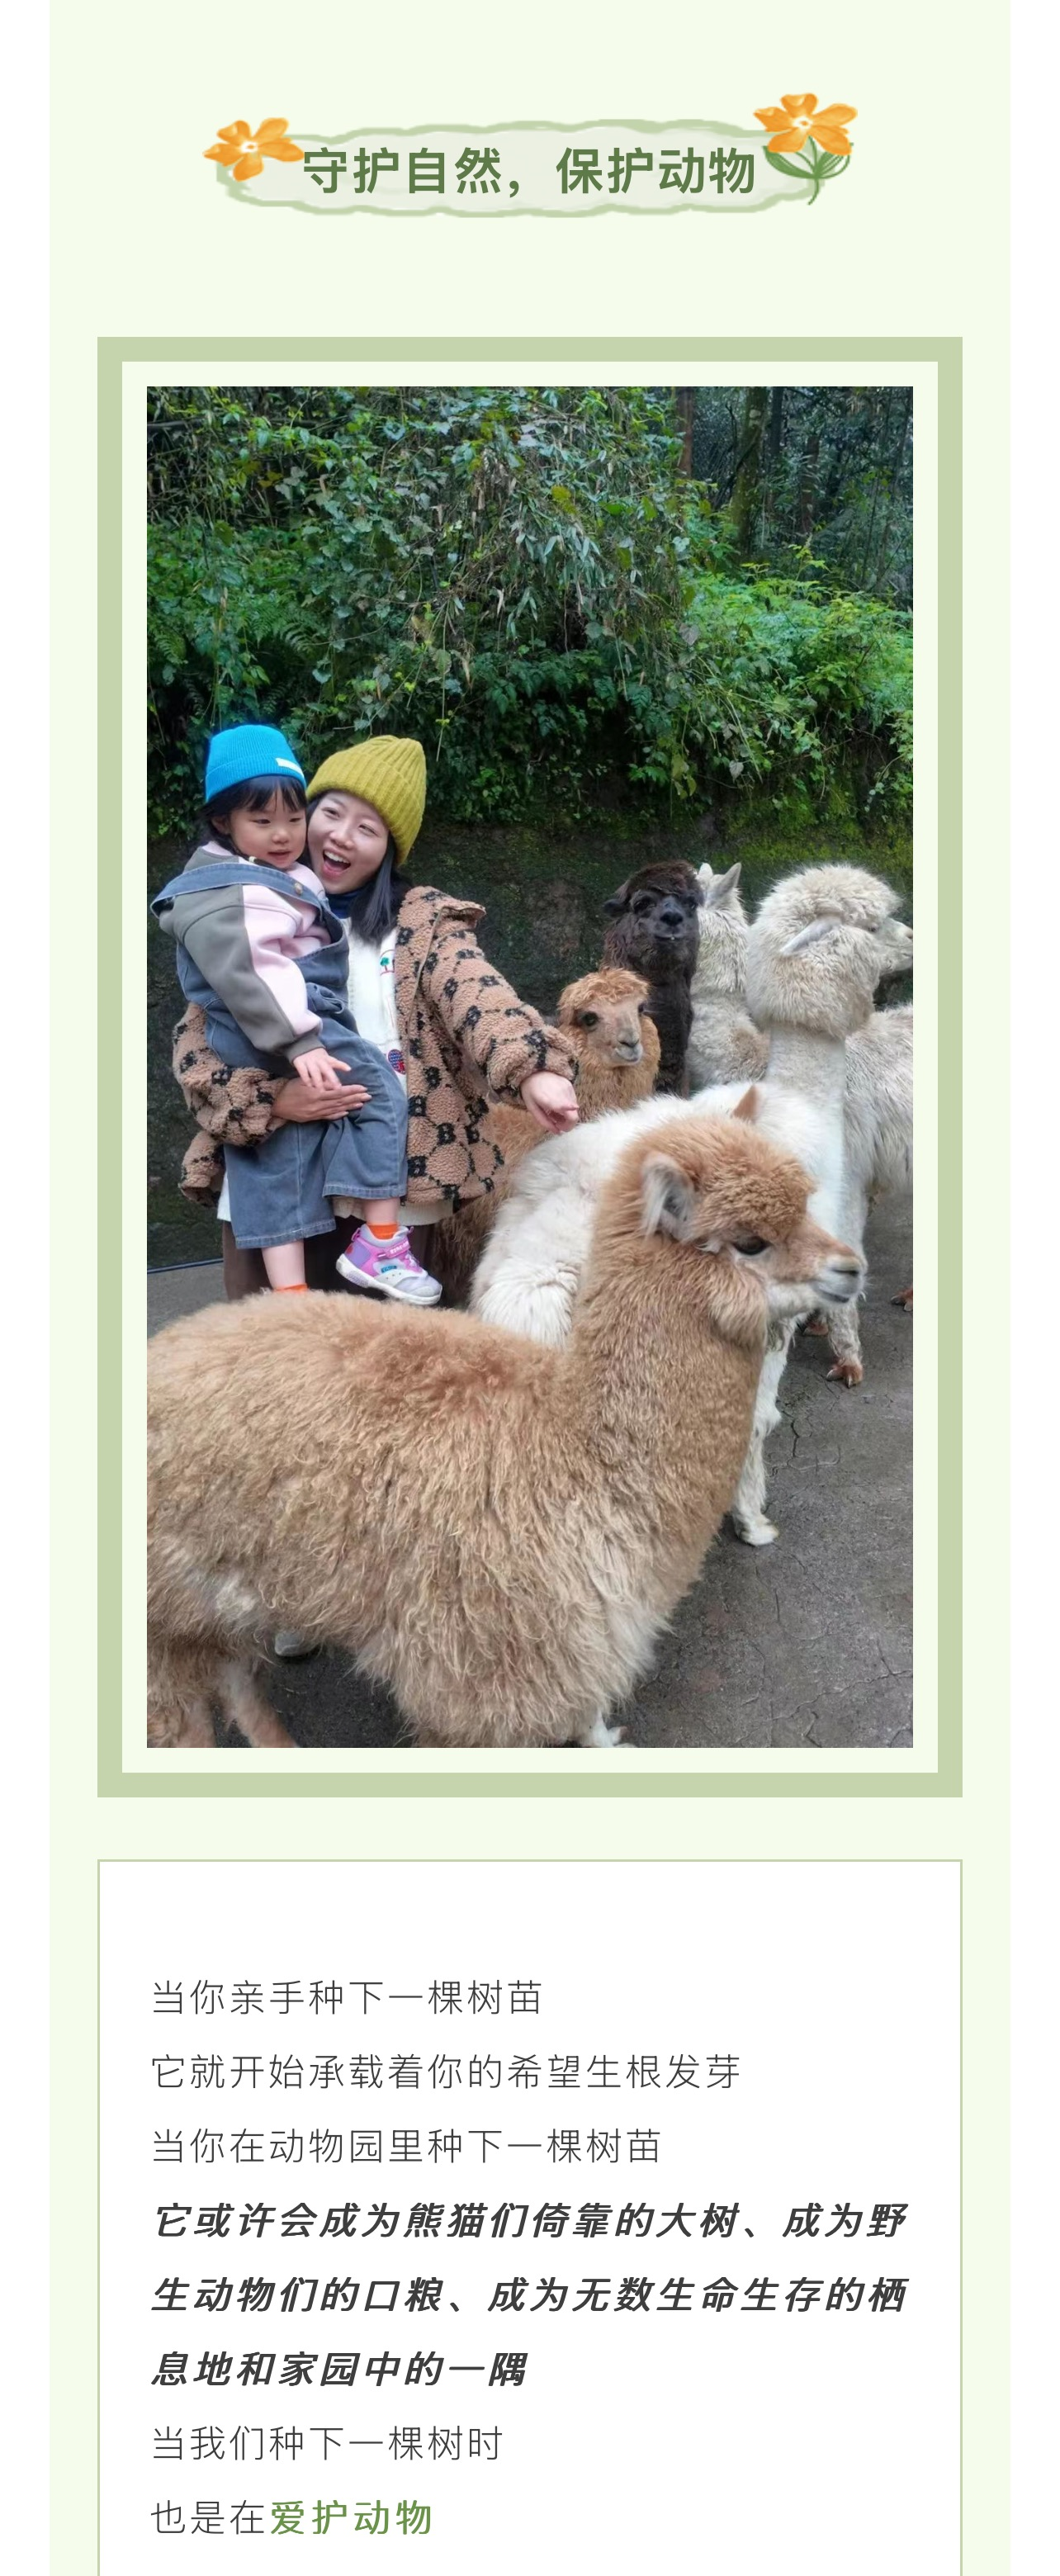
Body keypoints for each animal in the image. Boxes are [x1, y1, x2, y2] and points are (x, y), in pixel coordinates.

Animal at [146, 1110, 862, 1752]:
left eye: (805, 1207)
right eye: (751, 1241)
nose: (851, 1267)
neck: (577, 1448)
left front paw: (599, 1737)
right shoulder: (478, 1674)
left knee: (235, 1679)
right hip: (164, 1614)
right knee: (181, 1718)